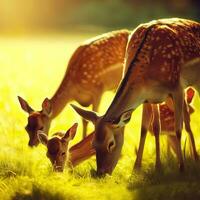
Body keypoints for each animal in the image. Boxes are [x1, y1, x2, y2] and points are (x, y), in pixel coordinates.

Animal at [71, 18, 200, 176]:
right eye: (93, 144)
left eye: (111, 144)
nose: (101, 173)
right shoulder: (148, 97)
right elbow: (146, 128)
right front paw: (139, 168)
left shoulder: (177, 88)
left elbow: (178, 129)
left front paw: (182, 169)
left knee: (187, 119)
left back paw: (195, 159)